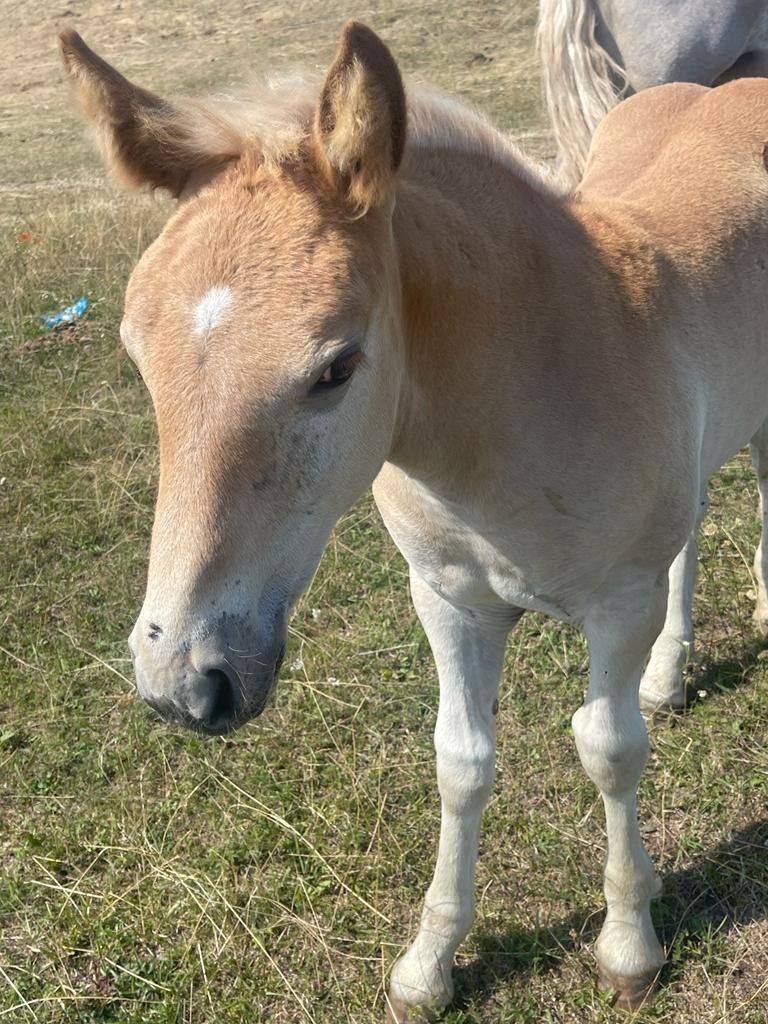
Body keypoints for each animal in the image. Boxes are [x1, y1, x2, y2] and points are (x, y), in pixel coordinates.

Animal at [61, 19, 768, 1019]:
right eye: (135, 355)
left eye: (335, 367)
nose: (184, 681)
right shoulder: (448, 600)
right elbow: (460, 763)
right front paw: (430, 962)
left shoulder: (618, 605)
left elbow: (609, 750)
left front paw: (630, 942)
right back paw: (671, 673)